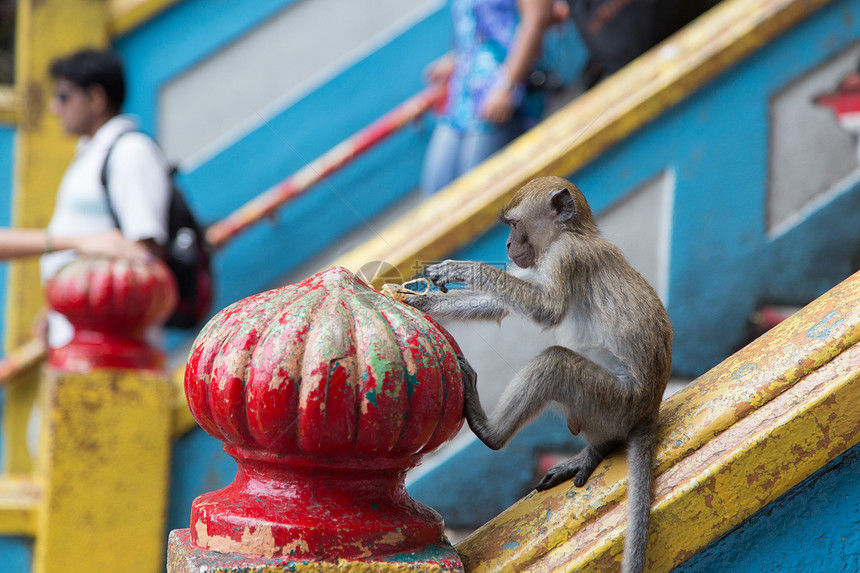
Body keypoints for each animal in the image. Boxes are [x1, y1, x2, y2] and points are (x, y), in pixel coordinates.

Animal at [406, 174, 676, 572]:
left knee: (555, 364)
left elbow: (545, 309)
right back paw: (597, 447)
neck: (572, 233)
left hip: (615, 401)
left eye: (514, 225)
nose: (507, 244)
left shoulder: (566, 257)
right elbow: (496, 304)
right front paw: (419, 300)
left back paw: (491, 432)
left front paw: (462, 268)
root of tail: (648, 410)